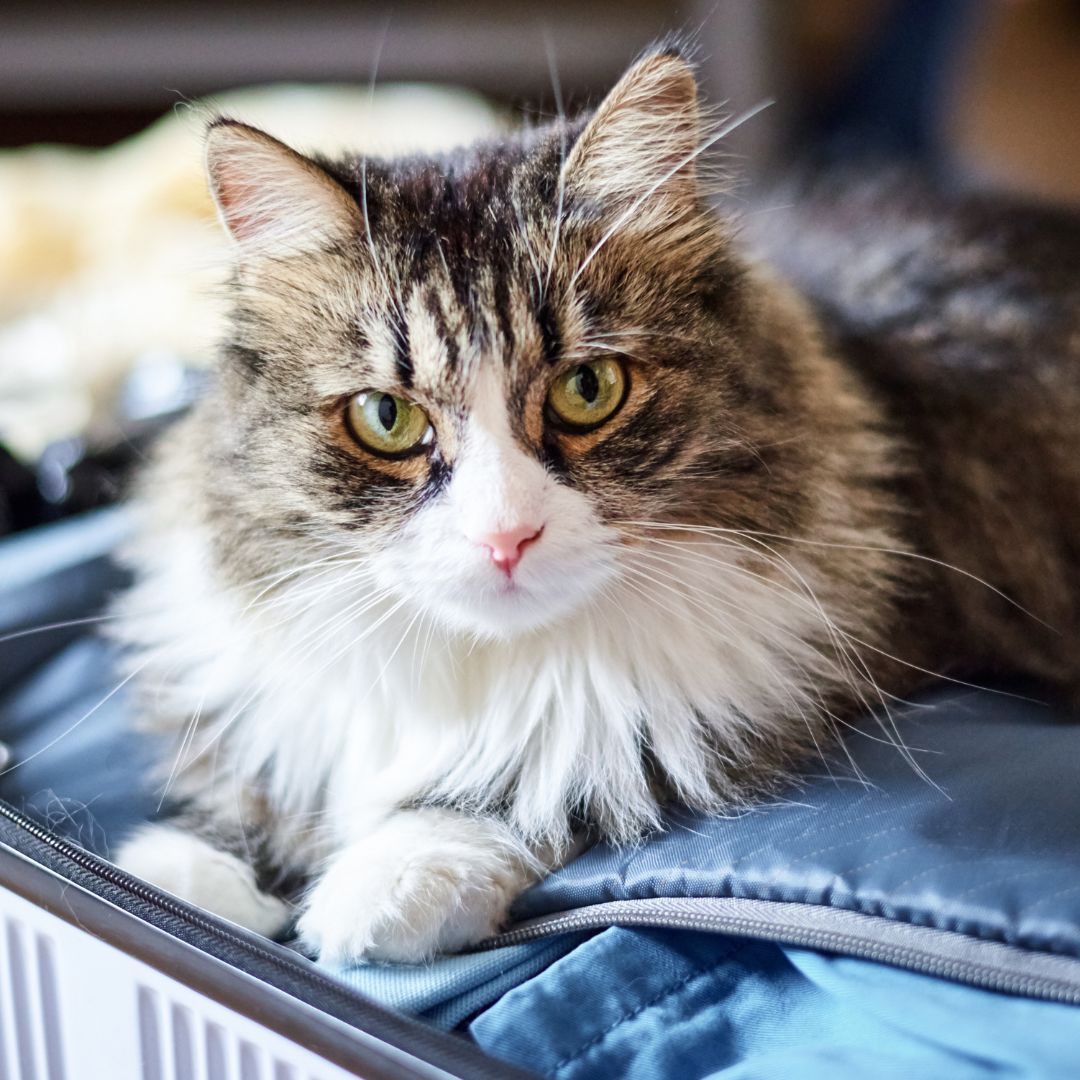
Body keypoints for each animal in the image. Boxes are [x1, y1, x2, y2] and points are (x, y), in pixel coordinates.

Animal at [111, 46, 1080, 967]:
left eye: (588, 389)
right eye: (387, 417)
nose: (506, 537)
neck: (496, 665)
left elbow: (551, 776)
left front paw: (393, 878)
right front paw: (188, 877)